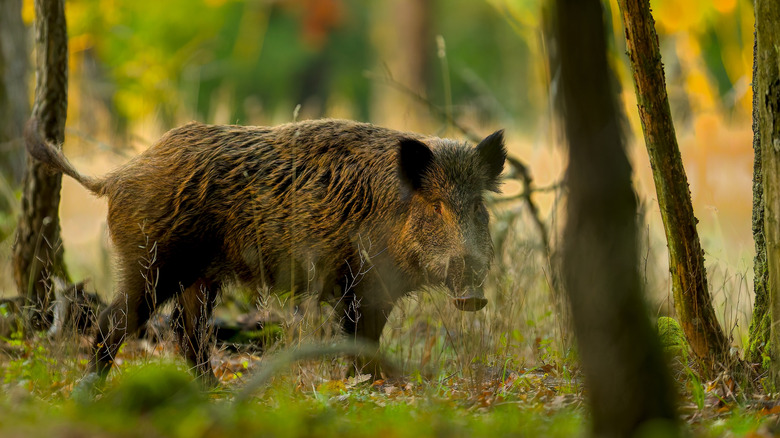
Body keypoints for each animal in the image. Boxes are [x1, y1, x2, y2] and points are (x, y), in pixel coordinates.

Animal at [25, 118, 506, 384]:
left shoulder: (379, 291)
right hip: (151, 260)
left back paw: (214, 392)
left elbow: (371, 338)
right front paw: (368, 388)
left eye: (477, 206)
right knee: (115, 322)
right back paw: (91, 390)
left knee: (187, 330)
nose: (473, 294)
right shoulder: (357, 282)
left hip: (200, 276)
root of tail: (115, 177)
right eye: (436, 204)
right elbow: (359, 338)